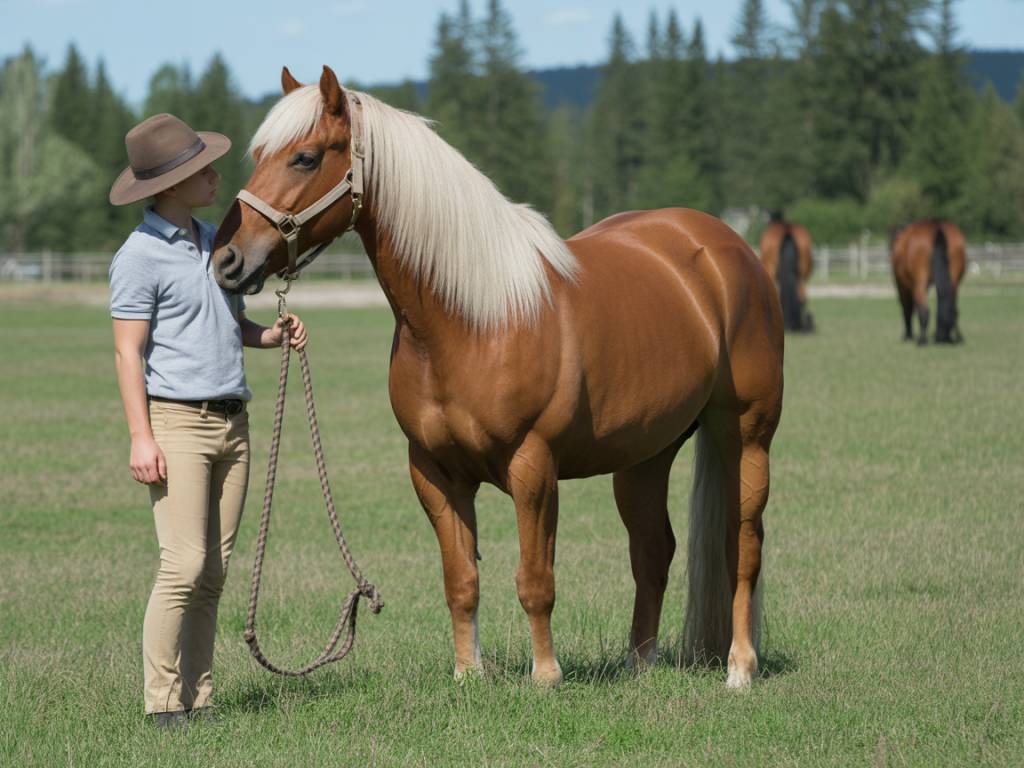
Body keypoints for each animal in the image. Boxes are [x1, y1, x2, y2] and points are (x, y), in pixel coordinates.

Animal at [212, 66, 784, 689]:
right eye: (259, 155)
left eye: (306, 158)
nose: (227, 260)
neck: (472, 321)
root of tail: (724, 248)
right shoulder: (434, 473)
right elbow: (461, 581)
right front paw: (469, 674)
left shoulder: (533, 467)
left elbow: (535, 580)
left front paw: (546, 676)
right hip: (644, 455)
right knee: (653, 550)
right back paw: (641, 664)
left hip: (746, 435)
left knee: (743, 546)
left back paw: (739, 668)